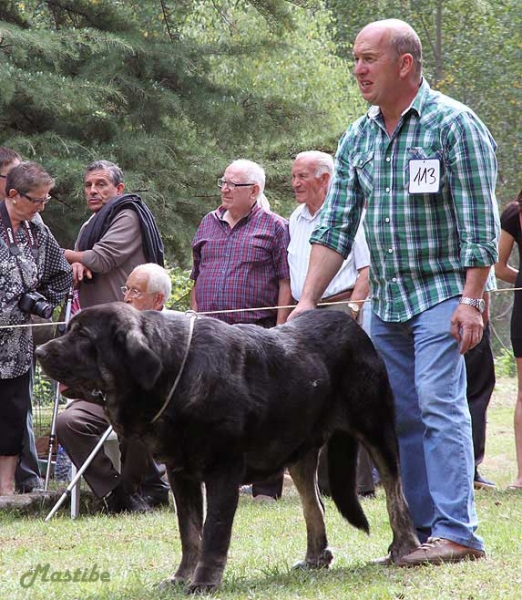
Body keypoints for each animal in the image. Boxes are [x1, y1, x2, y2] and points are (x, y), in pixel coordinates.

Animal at [35, 302, 418, 592]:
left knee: (396, 494)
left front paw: (204, 583)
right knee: (315, 506)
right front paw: (181, 577)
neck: (173, 372)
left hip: (377, 432)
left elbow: (214, 532)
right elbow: (190, 533)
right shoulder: (181, 474)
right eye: (69, 329)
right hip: (299, 454)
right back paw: (315, 559)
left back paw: (403, 550)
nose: (38, 350)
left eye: (82, 335)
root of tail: (353, 326)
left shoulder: (223, 472)